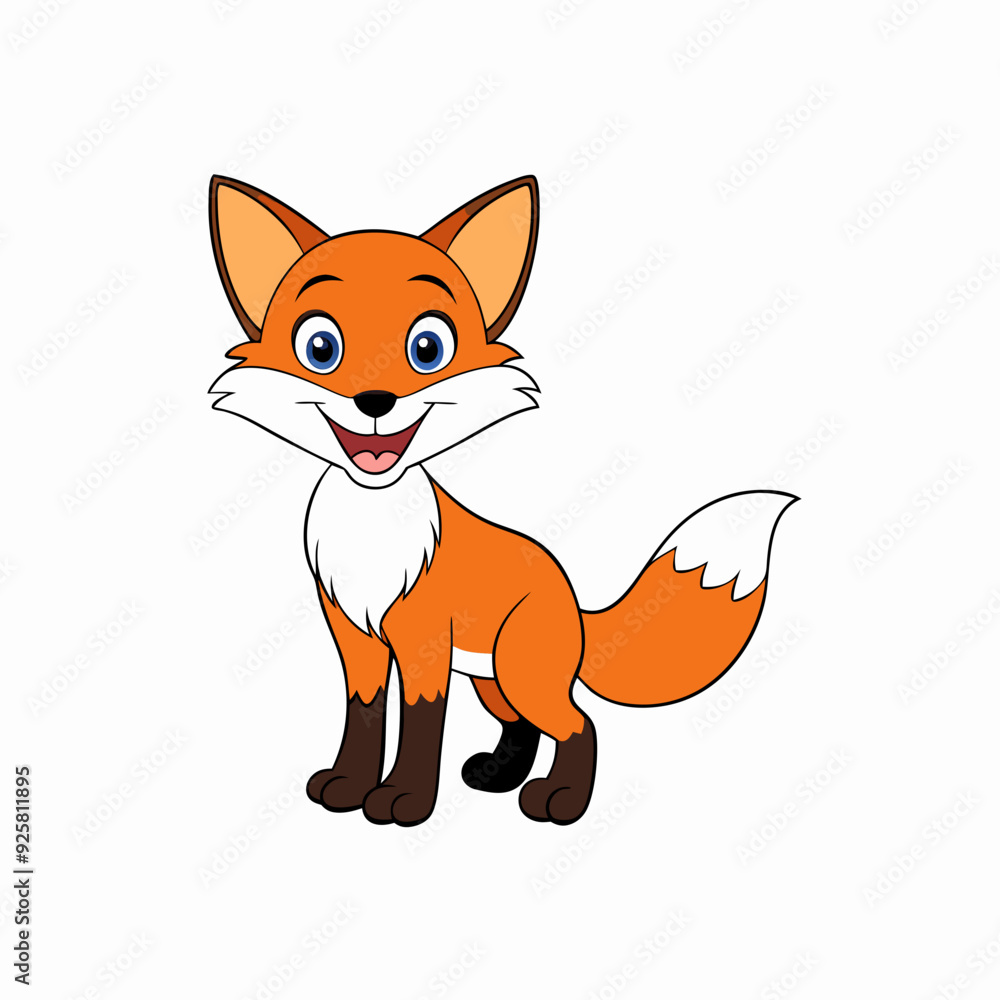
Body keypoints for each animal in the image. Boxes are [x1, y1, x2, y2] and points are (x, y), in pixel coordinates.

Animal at [207, 174, 796, 827]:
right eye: (320, 347)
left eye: (428, 347)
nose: (375, 401)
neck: (373, 527)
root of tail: (574, 601)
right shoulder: (356, 639)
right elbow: (363, 718)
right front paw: (348, 785)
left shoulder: (423, 644)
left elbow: (420, 727)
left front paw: (406, 800)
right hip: (492, 679)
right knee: (524, 726)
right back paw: (497, 777)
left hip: (521, 671)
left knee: (579, 724)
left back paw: (561, 801)